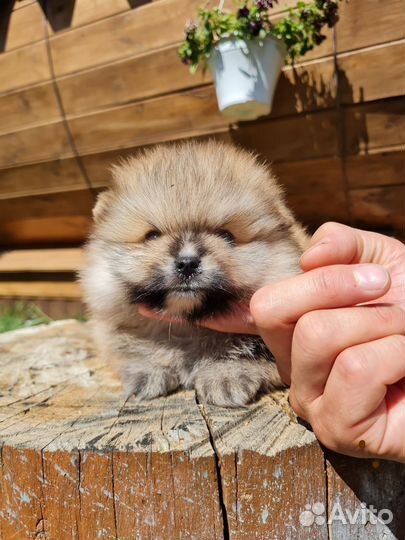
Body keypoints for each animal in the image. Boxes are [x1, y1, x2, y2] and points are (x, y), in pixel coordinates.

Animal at [80, 141, 308, 408]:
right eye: (152, 236)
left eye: (226, 235)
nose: (187, 263)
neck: (188, 327)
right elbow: (131, 345)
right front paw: (149, 370)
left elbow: (249, 348)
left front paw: (227, 375)